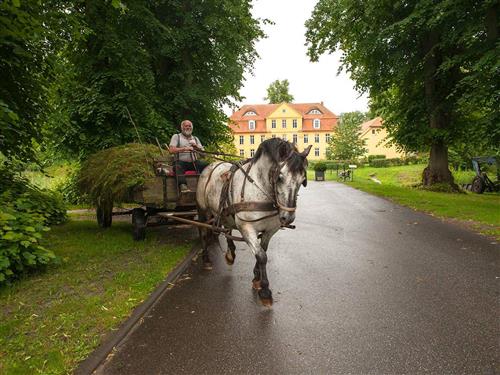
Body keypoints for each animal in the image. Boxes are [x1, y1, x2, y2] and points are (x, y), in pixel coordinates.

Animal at [196, 138, 310, 306]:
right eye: (280, 177)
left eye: (303, 181)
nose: (288, 218)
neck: (259, 188)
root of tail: (211, 165)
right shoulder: (246, 227)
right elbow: (261, 256)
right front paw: (265, 290)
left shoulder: (270, 230)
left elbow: (263, 251)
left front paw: (256, 278)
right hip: (203, 210)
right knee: (203, 232)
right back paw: (206, 259)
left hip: (224, 212)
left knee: (227, 228)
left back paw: (230, 254)